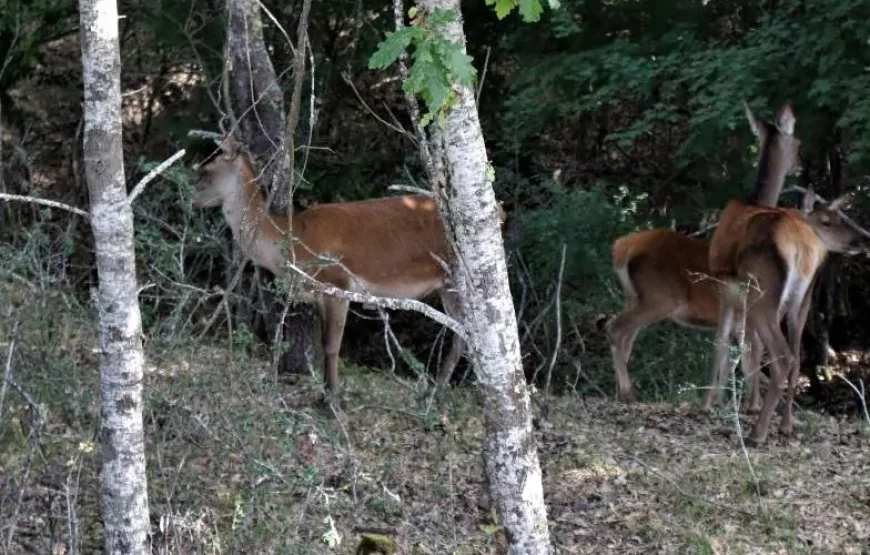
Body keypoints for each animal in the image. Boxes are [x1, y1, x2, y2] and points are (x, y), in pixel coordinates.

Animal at [194, 137, 500, 394]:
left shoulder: (337, 283)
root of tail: (501, 211)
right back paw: (438, 390)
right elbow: (322, 343)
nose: (190, 196)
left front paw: (332, 400)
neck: (294, 245)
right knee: (465, 332)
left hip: (458, 278)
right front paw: (325, 393)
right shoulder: (319, 294)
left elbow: (331, 346)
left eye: (206, 169)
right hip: (448, 285)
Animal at [608, 101, 804, 408]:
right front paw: (748, 404)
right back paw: (628, 392)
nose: (801, 166)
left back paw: (622, 392)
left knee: (624, 336)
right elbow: (750, 357)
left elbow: (732, 356)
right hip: (661, 297)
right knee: (615, 329)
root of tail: (621, 249)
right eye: (797, 143)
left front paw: (721, 400)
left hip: (634, 296)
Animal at [708, 189, 870, 446]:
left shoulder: (724, 289)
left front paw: (712, 403)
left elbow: (725, 340)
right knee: (794, 357)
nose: (865, 237)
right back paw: (785, 425)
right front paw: (746, 403)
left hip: (762, 295)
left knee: (784, 356)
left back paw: (757, 433)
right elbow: (750, 347)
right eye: (828, 220)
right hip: (799, 301)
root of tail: (802, 246)